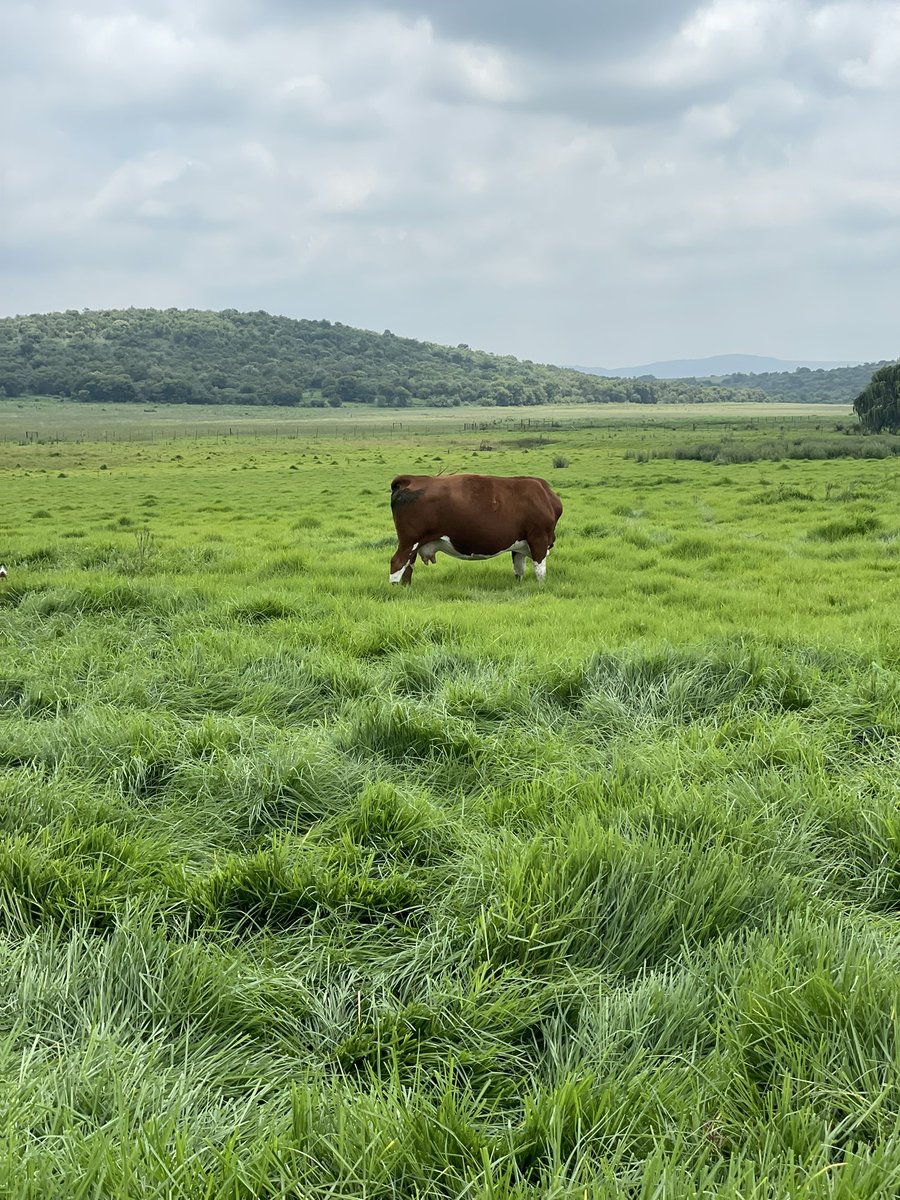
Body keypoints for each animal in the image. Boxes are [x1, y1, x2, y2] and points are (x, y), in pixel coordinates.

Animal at [388, 473, 563, 586]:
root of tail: (412, 479)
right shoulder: (538, 538)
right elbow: (540, 569)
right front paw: (541, 587)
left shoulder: (519, 543)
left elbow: (519, 568)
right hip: (409, 541)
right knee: (397, 563)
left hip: (413, 545)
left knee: (408, 567)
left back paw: (406, 587)